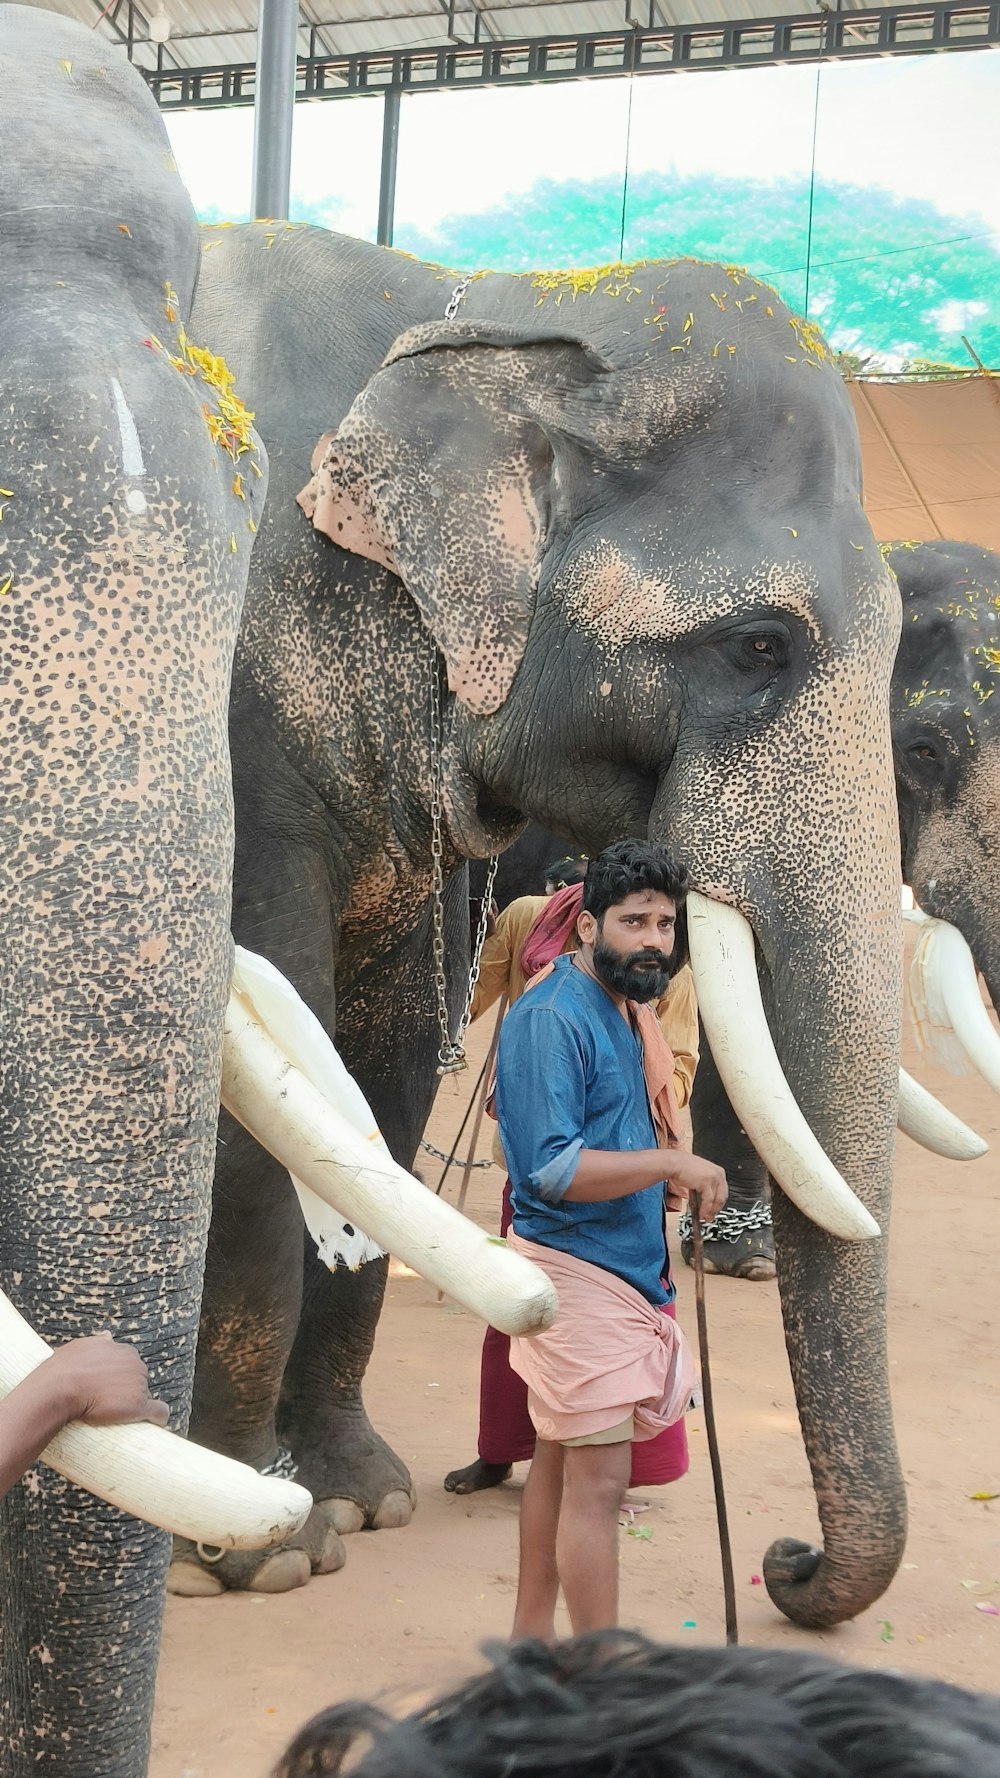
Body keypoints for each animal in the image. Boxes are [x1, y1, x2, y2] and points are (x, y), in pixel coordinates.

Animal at [175, 215, 907, 1628]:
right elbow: (263, 1062)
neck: (485, 303)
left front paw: (364, 1494)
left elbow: (388, 1063)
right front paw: (263, 1546)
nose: (784, 1561)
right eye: (758, 646)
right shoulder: (231, 711)